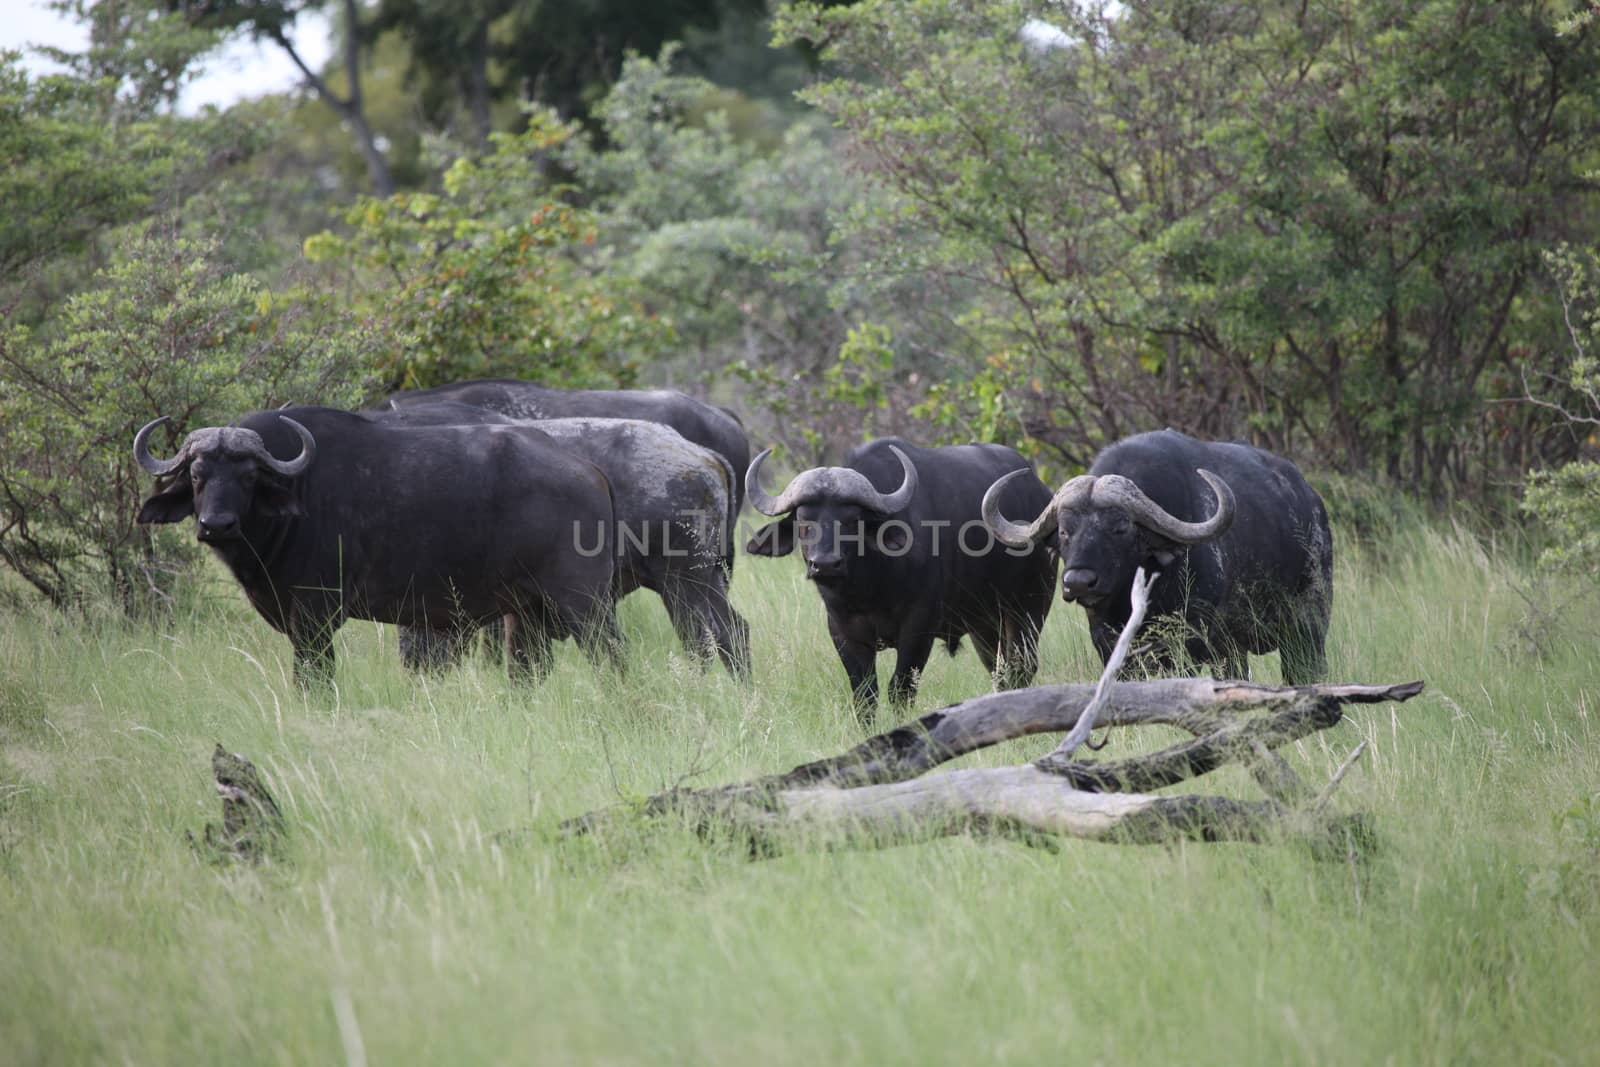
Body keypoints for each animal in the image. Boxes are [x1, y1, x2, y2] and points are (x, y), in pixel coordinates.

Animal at [134, 404, 620, 687]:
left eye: (248, 475)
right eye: (197, 474)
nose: (216, 525)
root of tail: (589, 469)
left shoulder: (314, 615)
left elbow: (314, 678)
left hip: (585, 603)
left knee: (612, 657)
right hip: (525, 612)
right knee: (527, 671)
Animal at [742, 435, 1056, 716]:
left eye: (852, 520)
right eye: (804, 521)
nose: (826, 564)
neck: (869, 588)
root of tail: (1042, 496)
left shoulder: (919, 628)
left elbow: (901, 689)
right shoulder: (842, 632)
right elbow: (865, 695)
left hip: (1028, 608)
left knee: (1021, 668)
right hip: (984, 623)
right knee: (998, 670)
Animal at [979, 428, 1331, 684]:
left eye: (1120, 528)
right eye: (1065, 531)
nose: (1078, 582)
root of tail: (1311, 500)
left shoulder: (1191, 640)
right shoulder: (1108, 644)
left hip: (1309, 622)